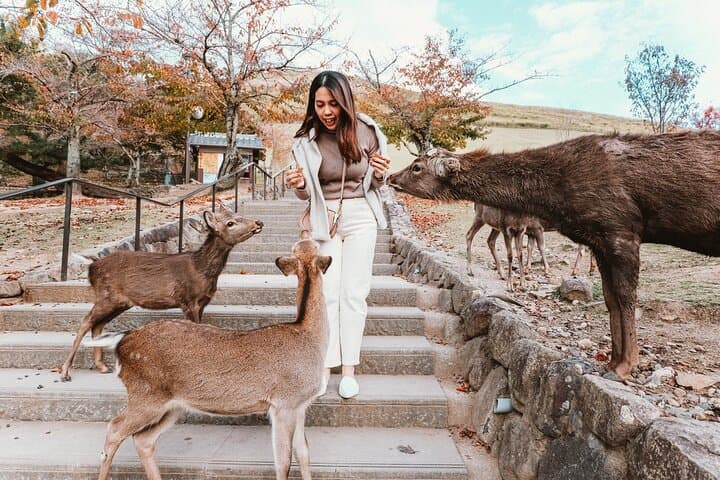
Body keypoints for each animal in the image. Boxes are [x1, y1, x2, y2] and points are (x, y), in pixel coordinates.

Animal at [59, 203, 263, 382]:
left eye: (237, 214)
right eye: (230, 223)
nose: (258, 222)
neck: (202, 271)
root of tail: (91, 269)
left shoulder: (202, 302)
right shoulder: (187, 299)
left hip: (118, 301)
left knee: (97, 325)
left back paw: (101, 366)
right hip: (106, 296)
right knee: (86, 321)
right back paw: (65, 372)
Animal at [83, 236, 332, 480]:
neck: (309, 337)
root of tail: (121, 340)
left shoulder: (300, 405)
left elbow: (304, 453)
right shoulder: (283, 403)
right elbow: (283, 463)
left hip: (170, 405)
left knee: (143, 439)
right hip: (145, 394)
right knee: (114, 429)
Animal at [389, 131, 720, 380]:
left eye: (417, 167)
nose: (391, 176)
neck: (558, 199)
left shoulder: (622, 230)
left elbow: (626, 299)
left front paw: (626, 366)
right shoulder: (598, 240)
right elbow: (610, 300)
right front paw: (611, 361)